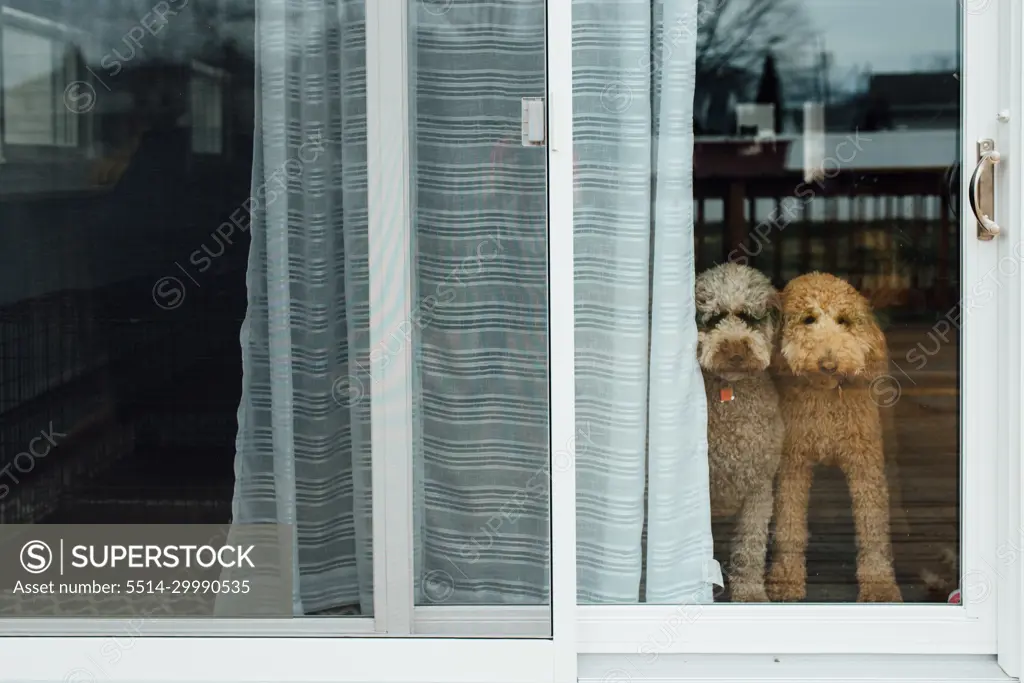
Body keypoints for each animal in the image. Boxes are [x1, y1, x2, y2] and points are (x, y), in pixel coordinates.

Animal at [696, 264, 782, 602]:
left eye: (748, 317)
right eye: (714, 318)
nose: (734, 351)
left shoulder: (758, 488)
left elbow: (750, 547)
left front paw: (750, 592)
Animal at [765, 272, 901, 602]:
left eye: (844, 321)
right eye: (808, 319)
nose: (830, 364)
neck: (826, 395)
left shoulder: (865, 463)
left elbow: (872, 524)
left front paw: (879, 584)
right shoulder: (792, 463)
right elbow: (788, 521)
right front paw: (785, 579)